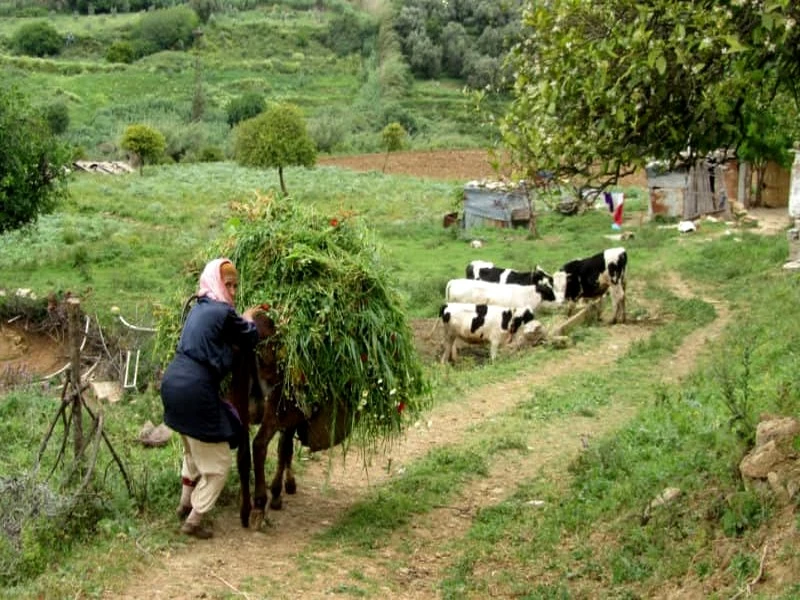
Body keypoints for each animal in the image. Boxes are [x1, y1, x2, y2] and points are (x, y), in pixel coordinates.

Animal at [228, 312, 354, 528]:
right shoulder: (289, 415)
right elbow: (285, 447)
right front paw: (279, 491)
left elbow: (284, 447)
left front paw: (284, 486)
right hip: (276, 406)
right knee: (259, 445)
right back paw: (259, 505)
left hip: (241, 404)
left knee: (243, 454)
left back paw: (245, 510)